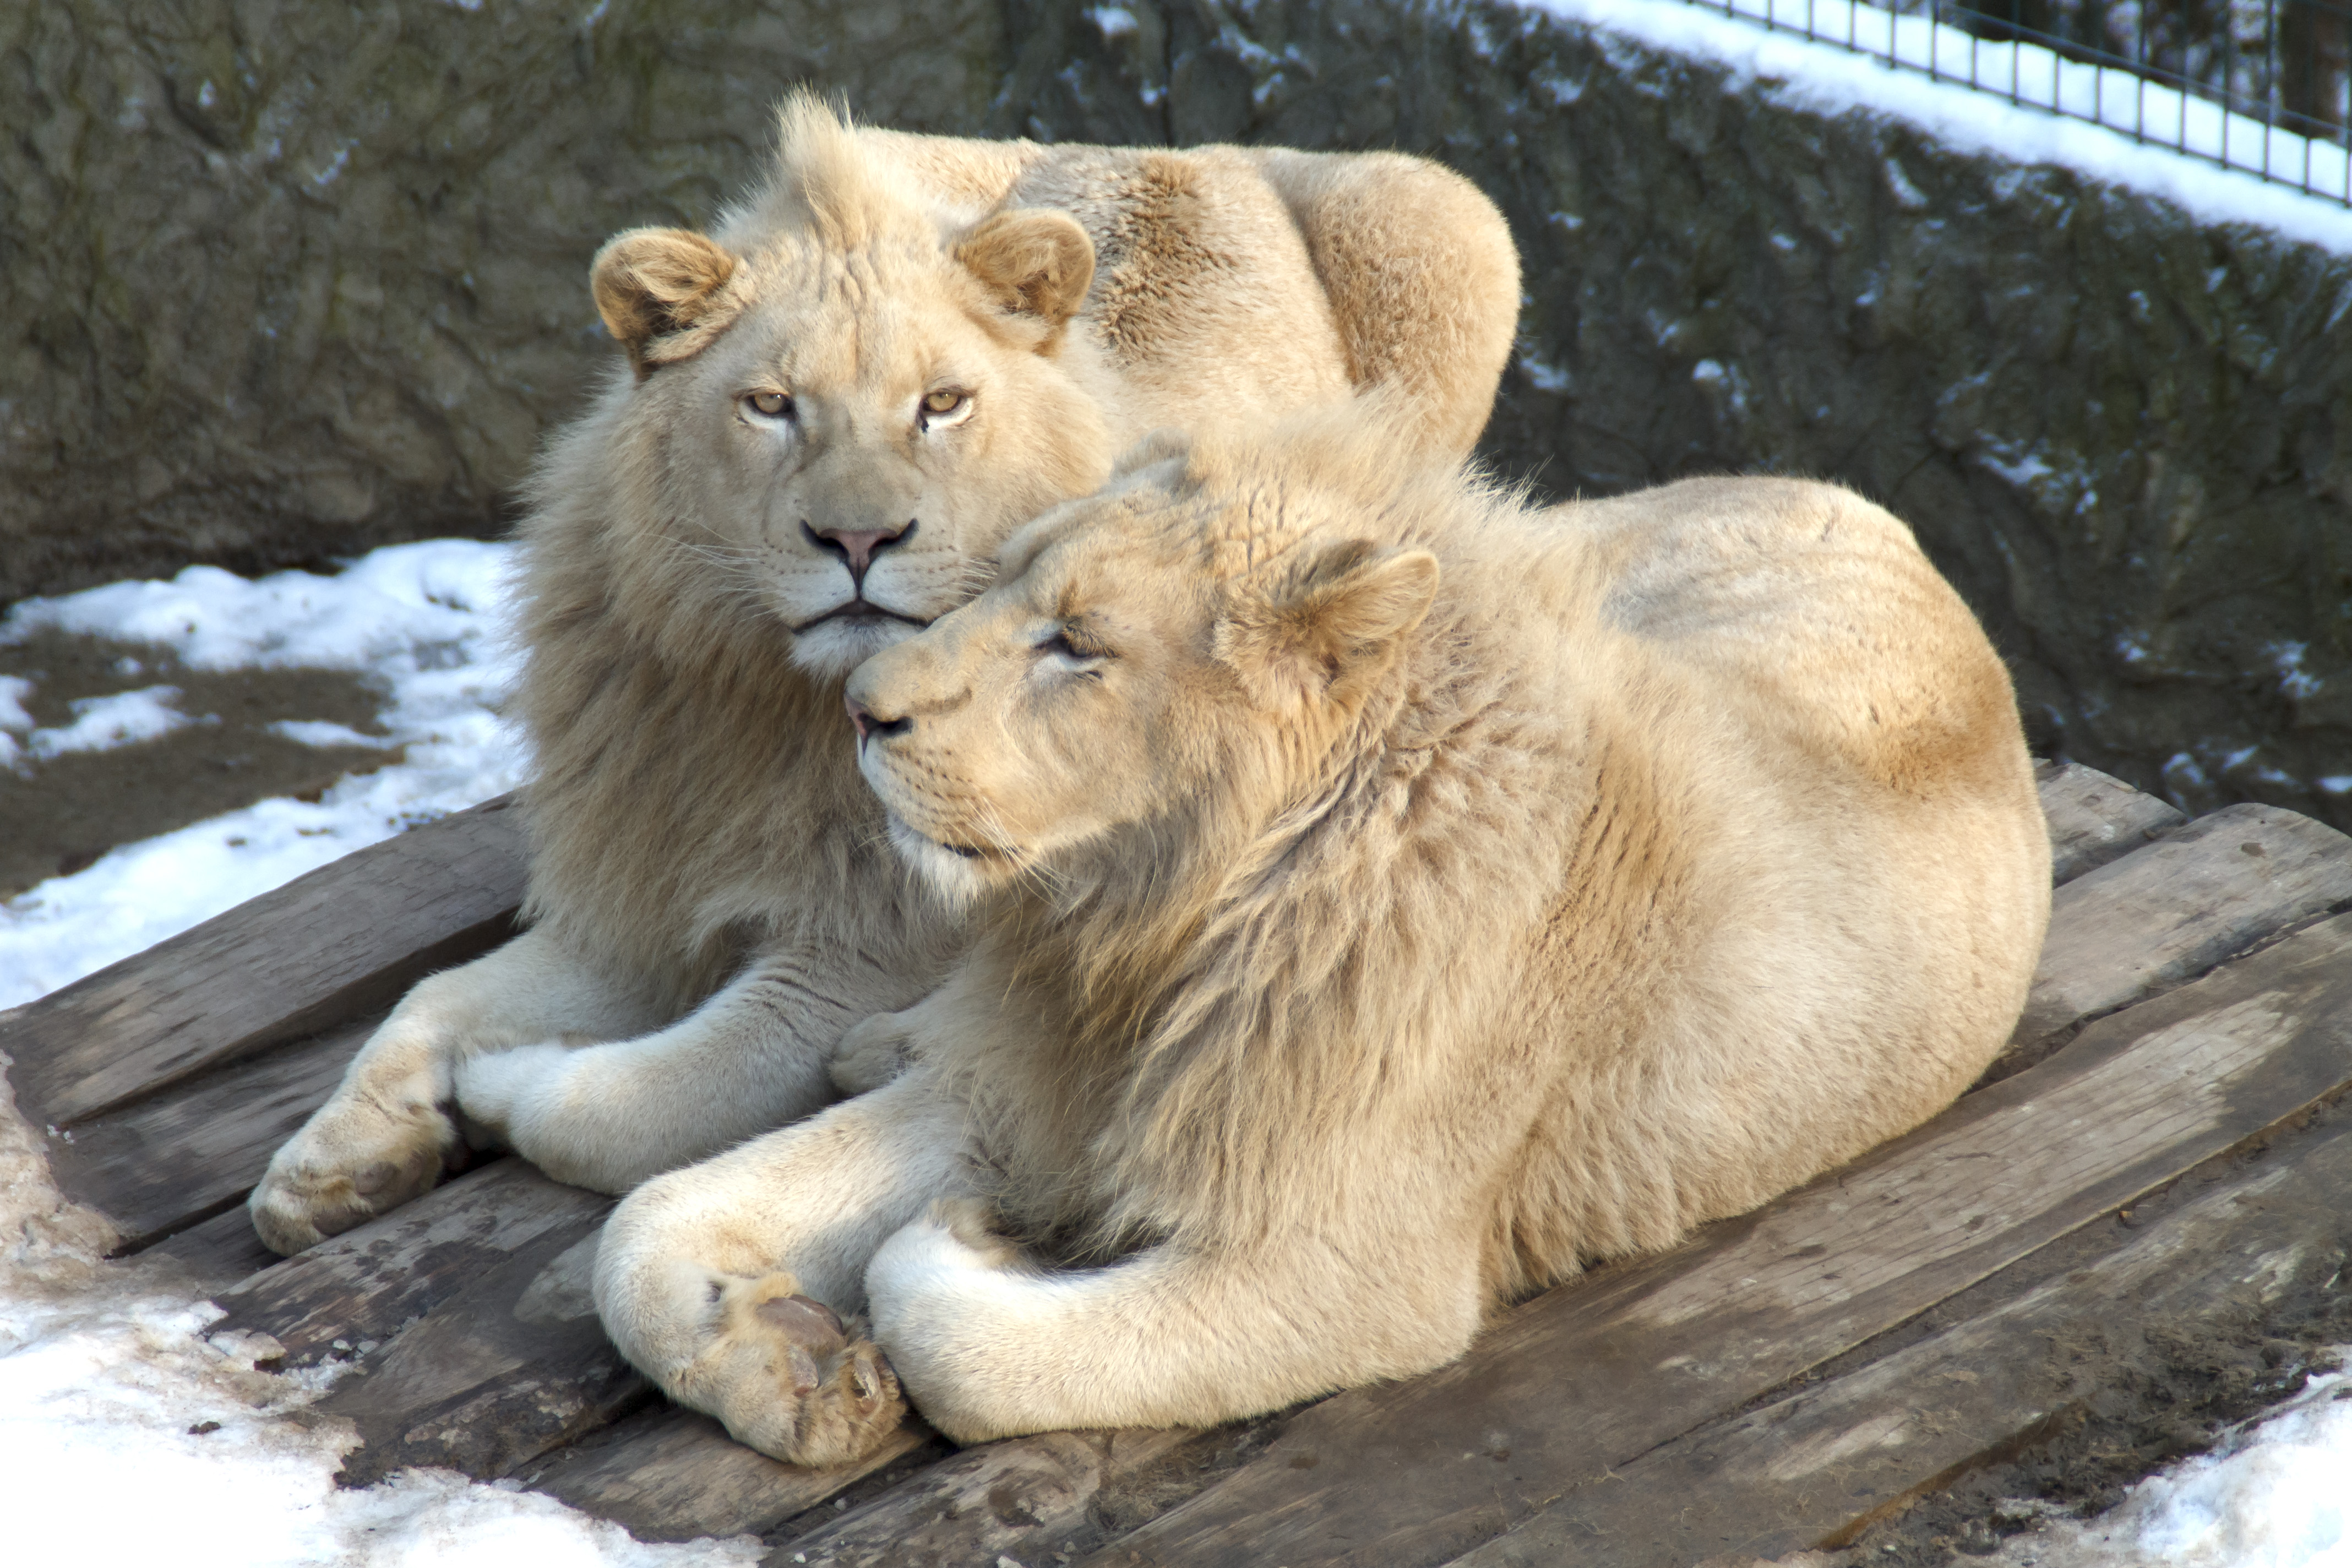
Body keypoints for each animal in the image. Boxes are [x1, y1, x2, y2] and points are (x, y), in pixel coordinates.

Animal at [243, 98, 1524, 1260]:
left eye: (941, 403)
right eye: (771, 405)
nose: (859, 539)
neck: (766, 708)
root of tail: (1183, 146)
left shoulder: (864, 958)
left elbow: (643, 1103)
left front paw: (511, 1088)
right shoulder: (636, 900)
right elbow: (430, 996)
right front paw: (331, 1166)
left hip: (1447, 217)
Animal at [592, 409, 2060, 1476]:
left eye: (1076, 643)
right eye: (1000, 580)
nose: (861, 706)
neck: (1153, 929)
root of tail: (1860, 502)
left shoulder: (1343, 1270)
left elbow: (950, 1329)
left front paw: (969, 1244)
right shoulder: (1025, 1079)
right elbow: (639, 1225)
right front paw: (790, 1364)